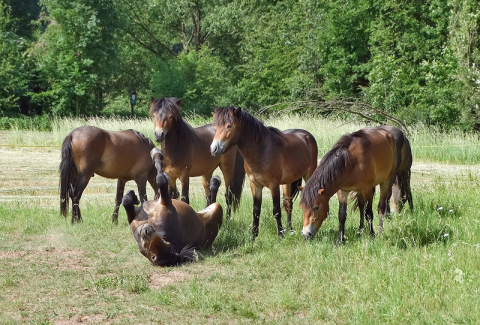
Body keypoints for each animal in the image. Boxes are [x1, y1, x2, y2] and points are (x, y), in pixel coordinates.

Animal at [211, 105, 318, 238]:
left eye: (229, 126)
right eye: (215, 126)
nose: (214, 149)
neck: (262, 151)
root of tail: (306, 135)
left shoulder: (274, 185)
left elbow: (276, 210)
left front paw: (280, 236)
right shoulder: (255, 185)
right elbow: (256, 210)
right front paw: (253, 236)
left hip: (309, 175)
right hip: (287, 182)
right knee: (288, 204)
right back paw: (290, 229)